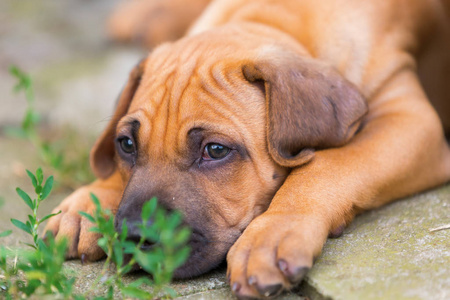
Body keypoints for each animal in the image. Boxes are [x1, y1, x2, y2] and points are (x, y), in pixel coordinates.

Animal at [44, 0, 450, 298]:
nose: (135, 238)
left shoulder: (409, 120)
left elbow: (327, 165)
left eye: (215, 151)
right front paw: (88, 201)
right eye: (126, 144)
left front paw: (270, 236)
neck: (277, 16)